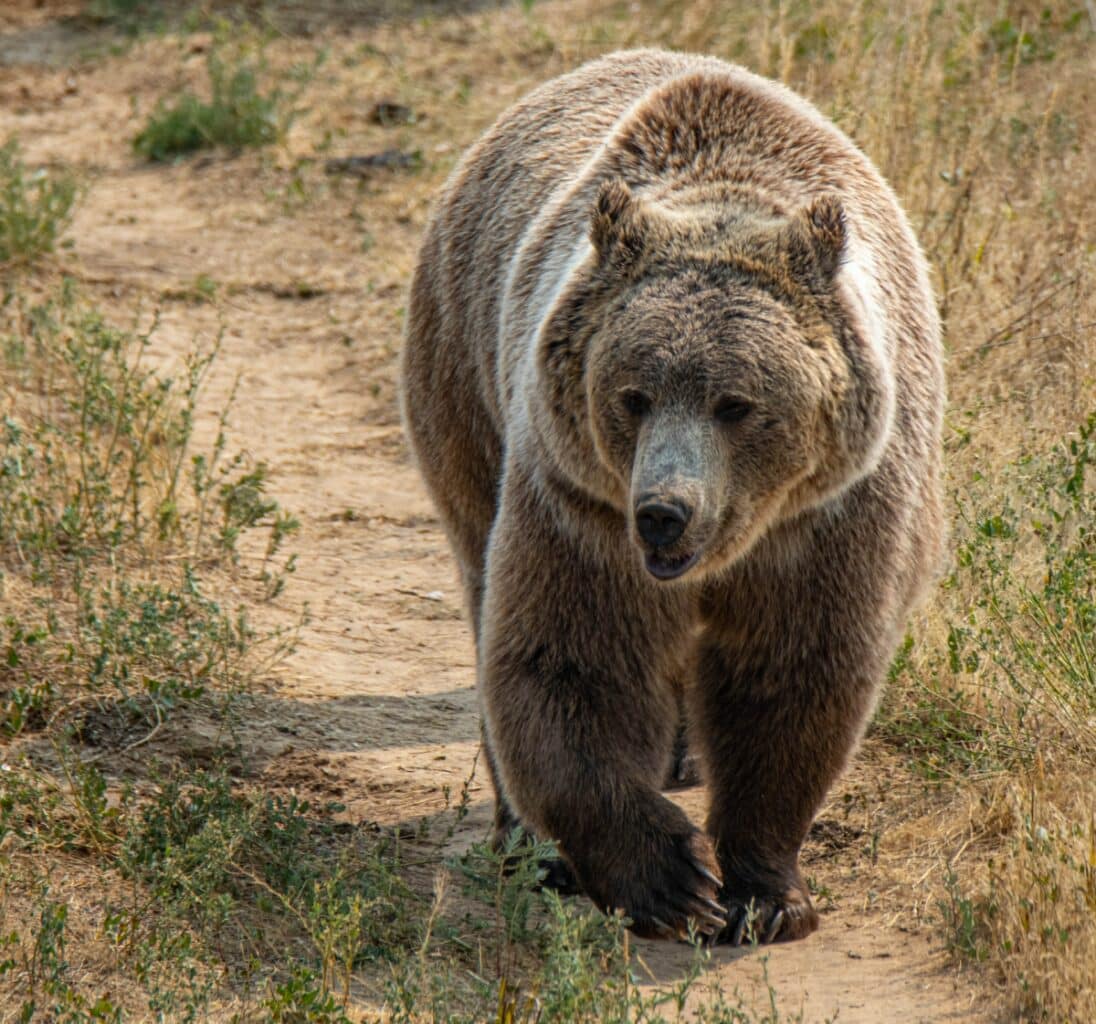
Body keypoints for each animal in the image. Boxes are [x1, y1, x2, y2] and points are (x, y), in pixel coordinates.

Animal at [401, 48, 942, 947]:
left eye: (737, 403)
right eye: (633, 395)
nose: (663, 511)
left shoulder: (834, 514)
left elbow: (793, 674)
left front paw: (766, 893)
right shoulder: (579, 503)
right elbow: (570, 660)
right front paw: (669, 880)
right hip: (465, 381)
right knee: (482, 581)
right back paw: (529, 847)